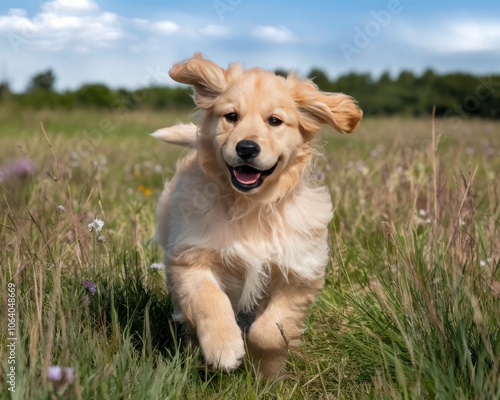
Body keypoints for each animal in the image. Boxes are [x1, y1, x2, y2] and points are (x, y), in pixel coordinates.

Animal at [154, 53, 362, 378]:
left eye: (274, 121)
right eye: (231, 116)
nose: (247, 148)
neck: (250, 205)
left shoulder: (299, 273)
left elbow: (271, 330)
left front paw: (268, 373)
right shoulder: (189, 257)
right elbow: (209, 299)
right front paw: (223, 348)